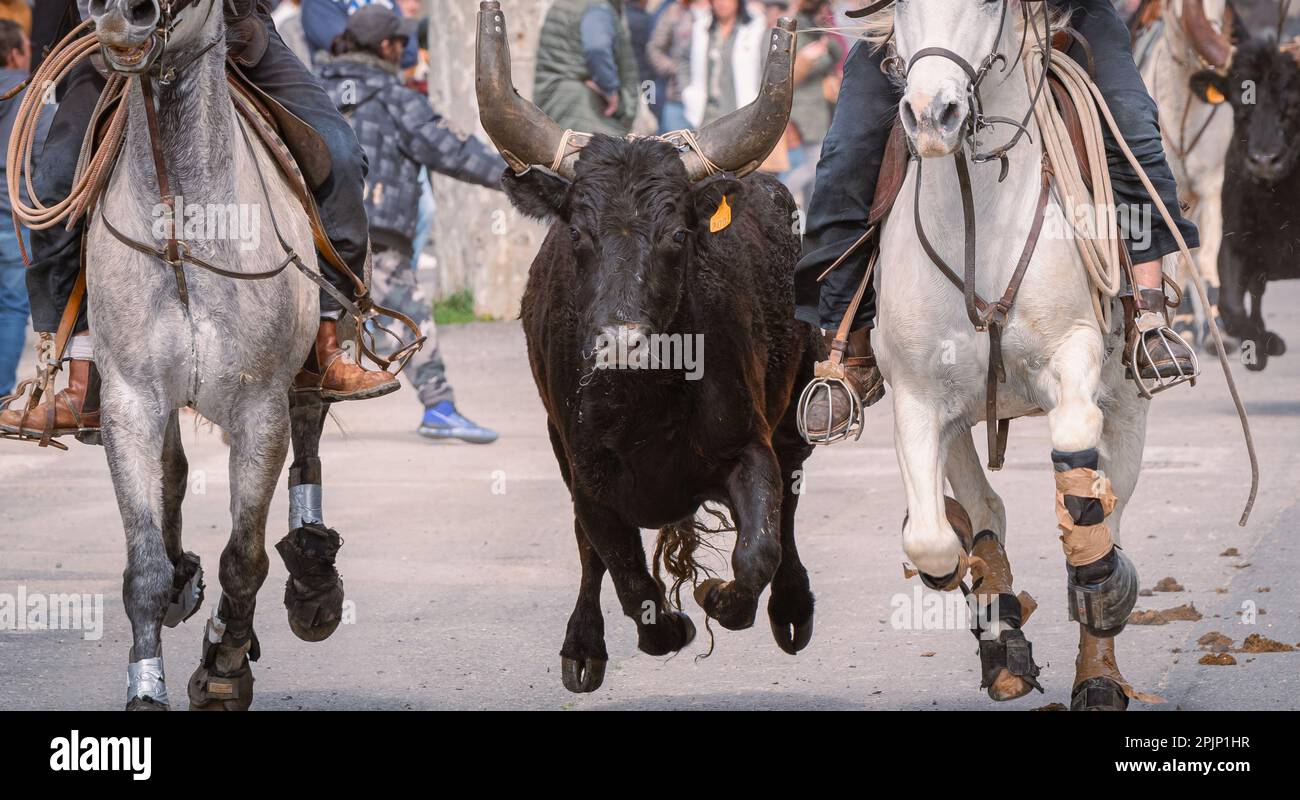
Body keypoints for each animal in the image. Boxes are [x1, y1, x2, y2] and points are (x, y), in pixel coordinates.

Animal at [501, 134, 816, 692]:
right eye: (578, 232)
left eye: (677, 234)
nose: (622, 342)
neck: (644, 401)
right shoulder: (586, 475)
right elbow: (621, 568)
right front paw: (664, 629)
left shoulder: (748, 446)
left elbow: (759, 550)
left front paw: (717, 598)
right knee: (590, 554)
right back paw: (583, 646)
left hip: (794, 418)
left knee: (789, 507)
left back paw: (792, 609)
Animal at [868, 0, 1154, 712]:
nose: (932, 114)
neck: (981, 220)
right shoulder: (919, 398)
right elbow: (932, 540)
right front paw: (990, 612)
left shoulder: (1074, 355)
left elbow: (1080, 464)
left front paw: (1103, 582)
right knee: (984, 509)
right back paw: (1003, 647)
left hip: (1129, 402)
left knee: (1109, 503)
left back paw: (1100, 670)